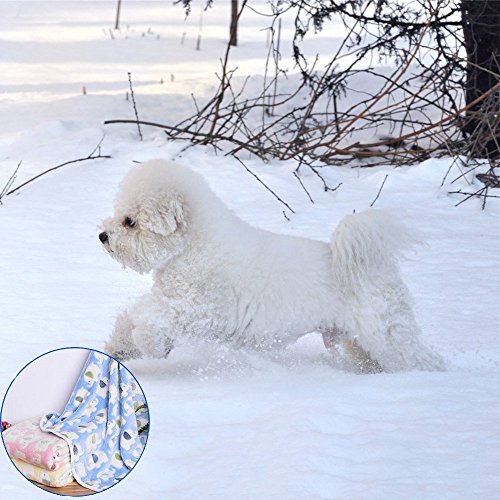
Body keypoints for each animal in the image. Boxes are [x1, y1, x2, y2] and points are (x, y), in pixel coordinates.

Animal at [99, 159, 443, 373]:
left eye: (130, 221)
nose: (103, 236)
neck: (196, 247)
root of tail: (373, 266)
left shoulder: (200, 309)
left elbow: (152, 318)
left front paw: (150, 344)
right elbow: (135, 316)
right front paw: (120, 347)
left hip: (386, 334)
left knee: (419, 358)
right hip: (358, 341)